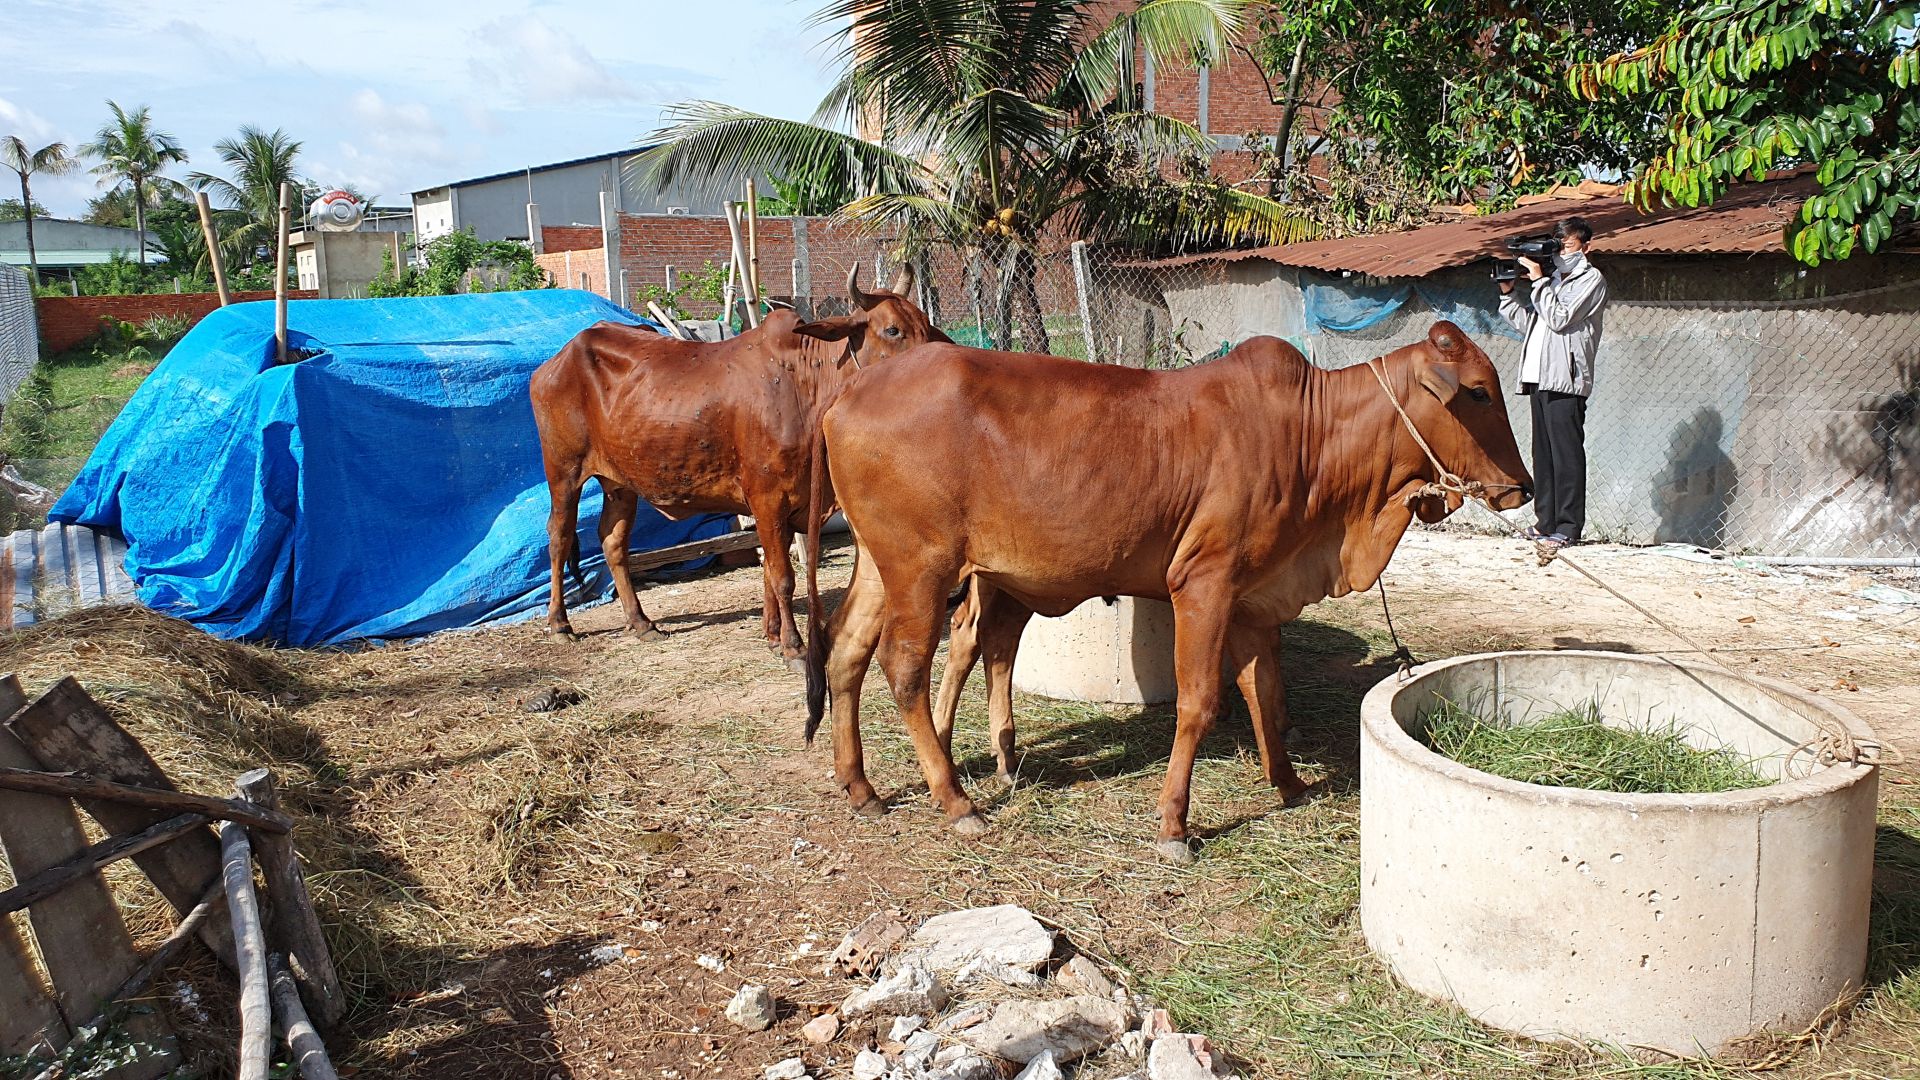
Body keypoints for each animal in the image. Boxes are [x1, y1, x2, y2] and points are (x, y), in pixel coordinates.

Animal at [802, 319, 1536, 857]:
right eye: (1477, 392)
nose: (1521, 488)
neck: (1312, 435)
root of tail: (847, 397)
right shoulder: (1203, 584)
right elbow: (1199, 701)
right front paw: (1175, 824)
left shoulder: (1251, 595)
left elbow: (1263, 688)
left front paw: (1288, 782)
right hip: (920, 568)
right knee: (902, 668)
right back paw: (956, 800)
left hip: (881, 567)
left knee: (846, 654)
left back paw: (861, 787)